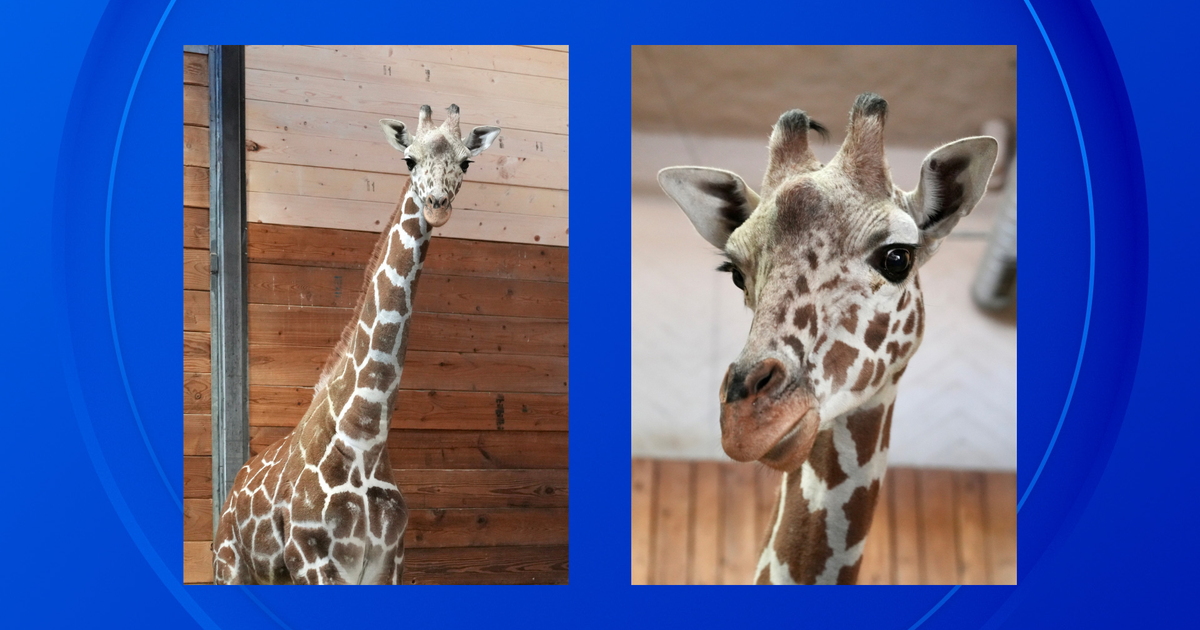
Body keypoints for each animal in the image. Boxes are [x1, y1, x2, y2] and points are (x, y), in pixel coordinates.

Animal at [212, 104, 500, 584]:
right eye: (409, 159)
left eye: (465, 163)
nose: (437, 206)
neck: (365, 439)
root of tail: (232, 493)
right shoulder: (312, 560)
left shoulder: (388, 560)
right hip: (228, 566)